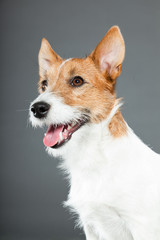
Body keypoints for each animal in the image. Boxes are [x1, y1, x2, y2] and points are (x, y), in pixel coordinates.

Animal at [29, 25, 160, 239]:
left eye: (77, 81)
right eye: (44, 84)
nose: (37, 108)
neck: (93, 156)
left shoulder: (143, 227)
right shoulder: (91, 226)